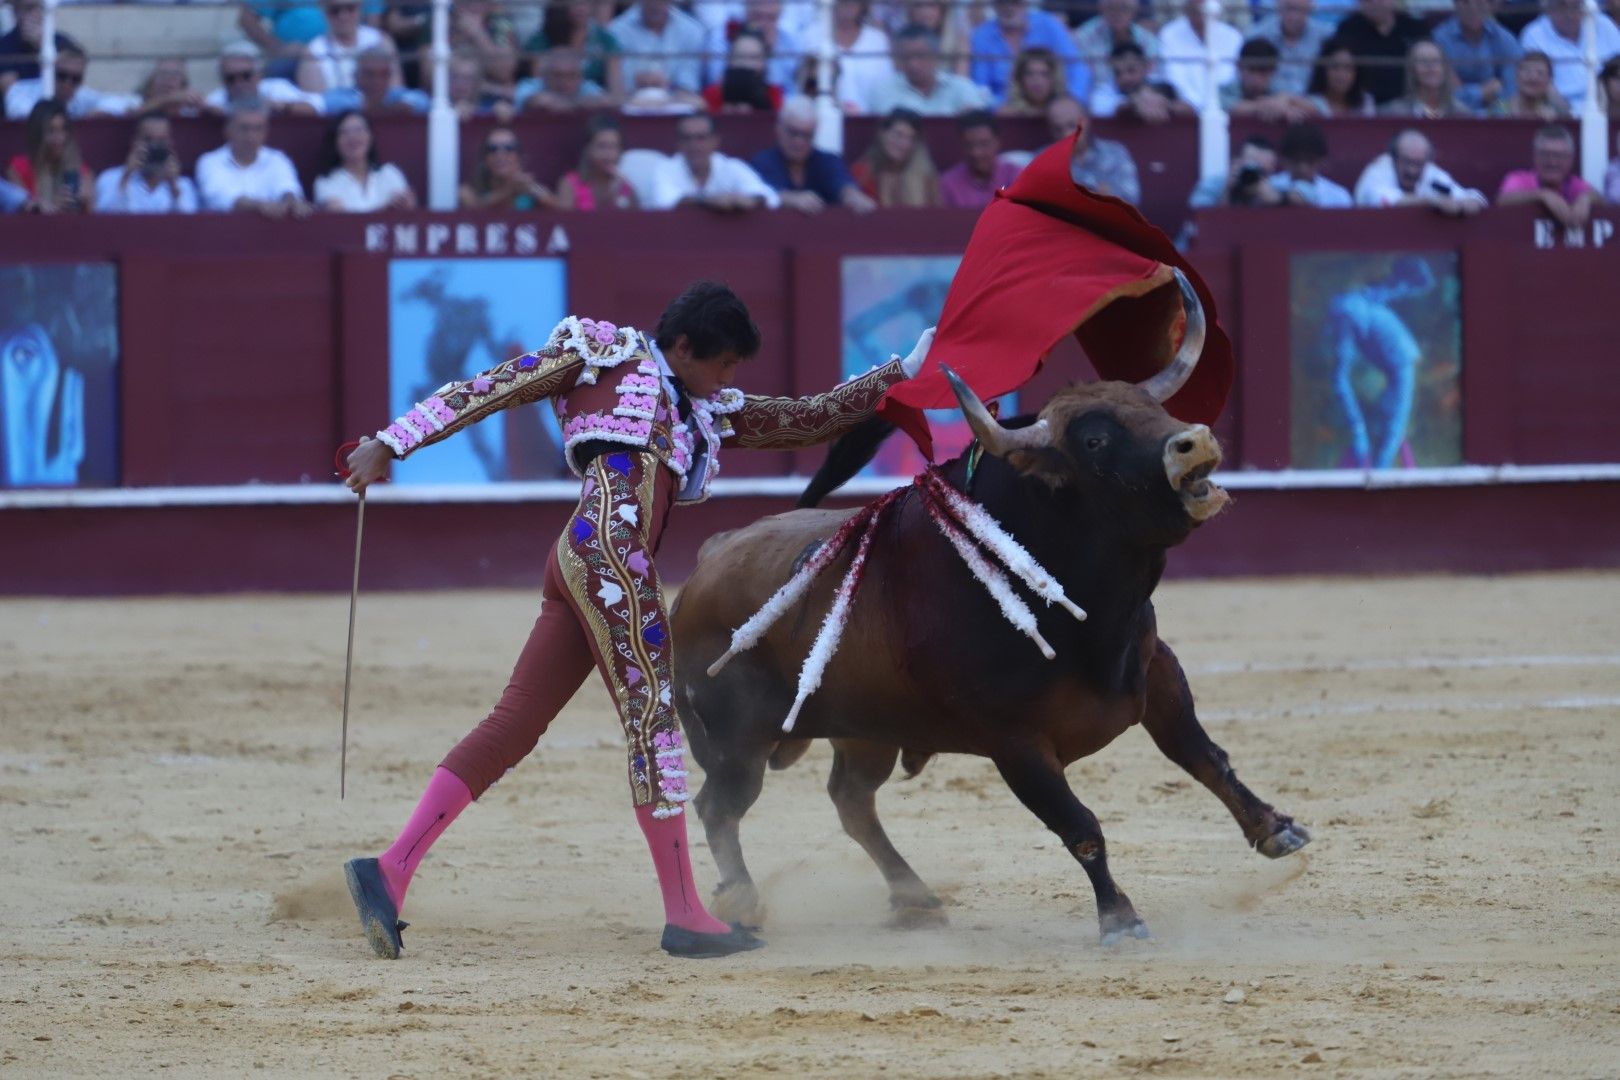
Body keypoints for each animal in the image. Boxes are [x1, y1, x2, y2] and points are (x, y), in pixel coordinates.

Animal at [664, 281, 1308, 945]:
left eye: (1148, 407)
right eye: (1095, 442)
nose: (1195, 441)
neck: (1094, 618)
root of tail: (706, 563)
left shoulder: (1156, 671)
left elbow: (1203, 756)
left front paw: (1275, 829)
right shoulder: (1015, 743)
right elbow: (1079, 826)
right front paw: (1120, 918)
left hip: (867, 731)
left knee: (851, 801)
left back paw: (915, 897)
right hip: (739, 741)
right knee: (720, 806)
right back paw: (743, 902)